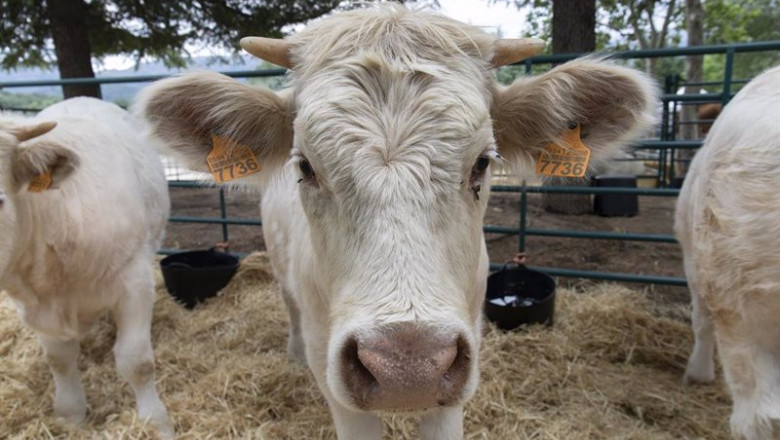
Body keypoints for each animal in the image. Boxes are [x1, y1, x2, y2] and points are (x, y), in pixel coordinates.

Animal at [0, 98, 173, 437]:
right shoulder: (34, 307)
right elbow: (59, 359)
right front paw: (70, 415)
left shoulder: (134, 281)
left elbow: (136, 360)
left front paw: (156, 423)